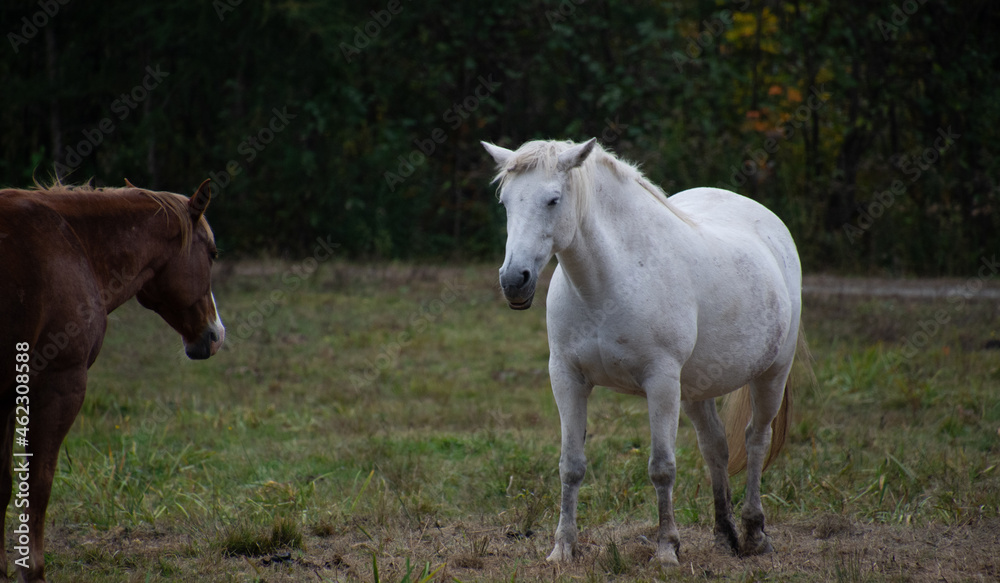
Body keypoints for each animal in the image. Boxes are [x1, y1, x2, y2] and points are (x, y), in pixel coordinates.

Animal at [0, 180, 225, 580]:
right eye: (212, 254)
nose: (216, 335)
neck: (72, 244)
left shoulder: (6, 395)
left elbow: (1, 487)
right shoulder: (60, 385)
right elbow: (38, 485)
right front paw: (34, 570)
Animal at [480, 138, 800, 564]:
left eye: (553, 199)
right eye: (505, 202)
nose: (515, 280)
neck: (609, 282)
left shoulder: (660, 382)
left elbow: (662, 467)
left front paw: (666, 549)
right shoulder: (567, 378)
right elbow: (571, 466)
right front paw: (563, 548)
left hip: (771, 374)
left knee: (755, 441)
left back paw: (755, 534)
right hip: (697, 388)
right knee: (715, 447)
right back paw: (724, 535)